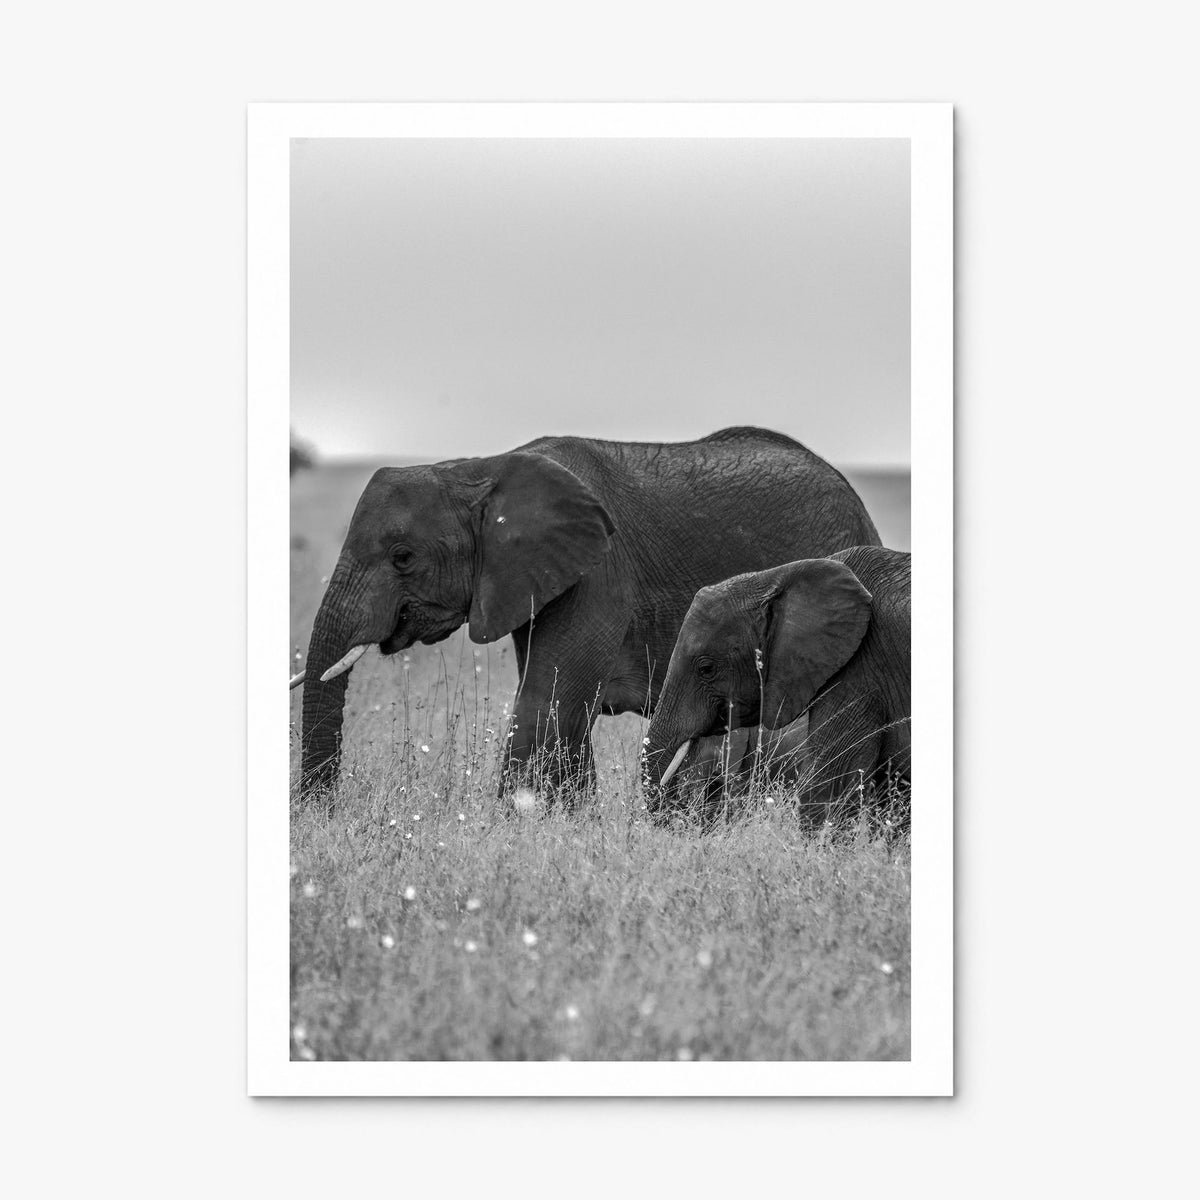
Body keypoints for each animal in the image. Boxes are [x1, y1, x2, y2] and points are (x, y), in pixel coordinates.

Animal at [291, 426, 881, 802]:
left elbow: (547, 701)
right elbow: (563, 709)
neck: (479, 469)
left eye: (402, 557)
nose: (323, 812)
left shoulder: (598, 572)